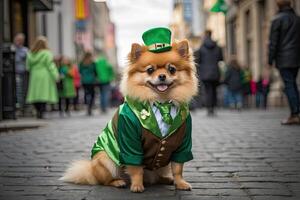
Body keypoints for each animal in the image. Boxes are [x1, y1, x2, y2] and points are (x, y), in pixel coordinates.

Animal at [60, 27, 198, 192]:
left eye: (172, 69)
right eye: (150, 70)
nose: (162, 76)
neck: (161, 102)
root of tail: (91, 171)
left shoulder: (183, 142)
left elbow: (178, 168)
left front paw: (180, 183)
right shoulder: (130, 141)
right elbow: (136, 168)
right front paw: (137, 185)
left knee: (157, 176)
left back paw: (166, 179)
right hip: (106, 160)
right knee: (105, 180)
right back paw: (118, 182)